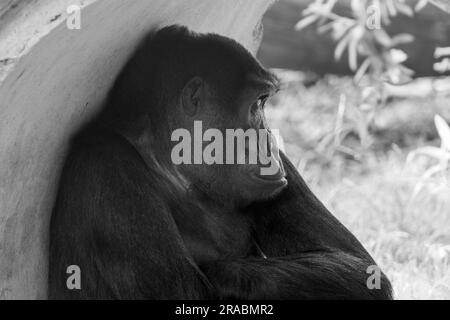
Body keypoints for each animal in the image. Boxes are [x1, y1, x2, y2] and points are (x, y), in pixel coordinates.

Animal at [49, 25, 392, 300]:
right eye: (257, 104)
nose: (269, 136)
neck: (171, 164)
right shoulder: (109, 168)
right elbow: (183, 293)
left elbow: (356, 267)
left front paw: (219, 272)